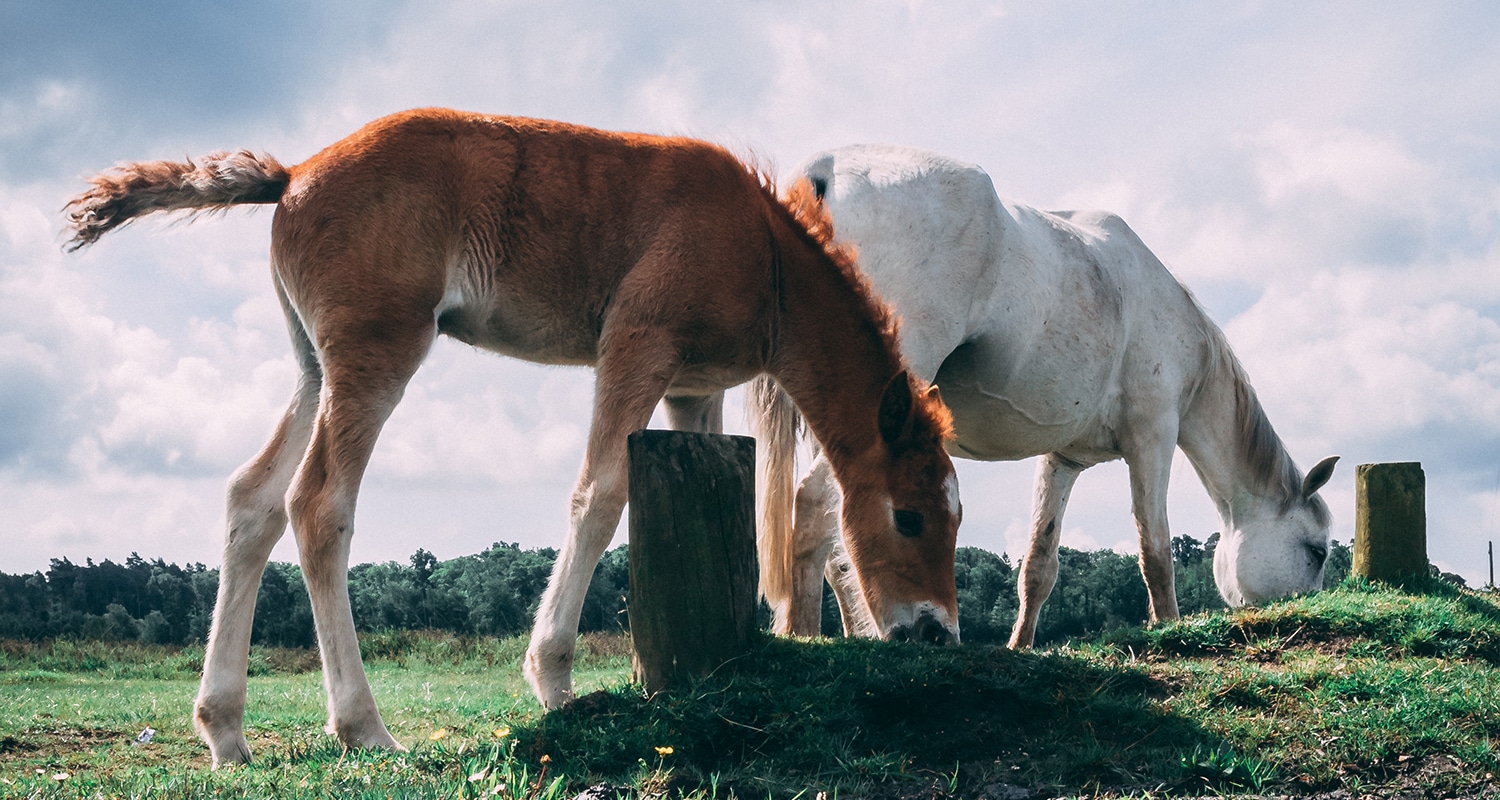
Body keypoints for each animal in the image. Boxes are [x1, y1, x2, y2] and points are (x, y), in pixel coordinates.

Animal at [61, 108, 960, 765]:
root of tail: (295, 173)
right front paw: (555, 681)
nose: (936, 634)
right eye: (909, 516)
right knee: (317, 503)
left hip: (315, 367)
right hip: (378, 351)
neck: (766, 251)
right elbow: (600, 493)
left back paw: (226, 732)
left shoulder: (694, 387)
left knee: (252, 501)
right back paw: (363, 728)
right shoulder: (636, 346)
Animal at [744, 143, 1344, 642]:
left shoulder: (1063, 462)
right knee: (815, 506)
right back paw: (806, 636)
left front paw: (1021, 646)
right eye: (1316, 552)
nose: (1309, 611)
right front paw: (1169, 631)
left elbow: (1039, 565)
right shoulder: (1153, 439)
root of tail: (822, 172)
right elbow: (1155, 549)